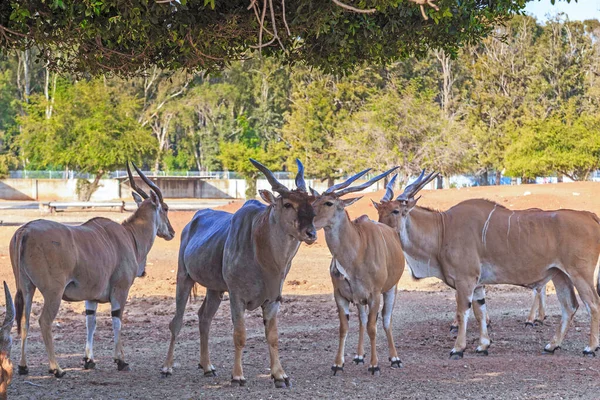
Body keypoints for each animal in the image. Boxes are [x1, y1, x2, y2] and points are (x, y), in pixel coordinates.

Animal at [9, 162, 173, 378]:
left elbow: (91, 323)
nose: (171, 232)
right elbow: (117, 320)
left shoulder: (91, 297)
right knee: (44, 321)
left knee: (24, 321)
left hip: (27, 289)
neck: (129, 235)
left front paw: (89, 360)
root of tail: (25, 230)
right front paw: (121, 361)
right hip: (53, 293)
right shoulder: (120, 291)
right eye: (165, 208)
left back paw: (23, 366)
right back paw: (57, 369)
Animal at [162, 159, 316, 388]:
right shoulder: (237, 297)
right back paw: (167, 367)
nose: (311, 233)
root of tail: (193, 221)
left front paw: (280, 376)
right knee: (177, 322)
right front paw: (237, 376)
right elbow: (240, 335)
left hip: (214, 290)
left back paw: (207, 367)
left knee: (204, 318)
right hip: (184, 278)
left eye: (310, 203)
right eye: (288, 204)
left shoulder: (273, 300)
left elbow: (273, 336)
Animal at [310, 166, 404, 376]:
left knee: (385, 320)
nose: (309, 225)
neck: (356, 252)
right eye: (313, 201)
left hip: (391, 289)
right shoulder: (341, 295)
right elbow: (344, 327)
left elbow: (373, 327)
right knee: (361, 319)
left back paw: (395, 358)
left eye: (329, 202)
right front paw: (338, 364)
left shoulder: (374, 294)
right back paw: (359, 356)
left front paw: (374, 365)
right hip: (360, 300)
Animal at [376, 170, 600, 358]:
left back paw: (590, 348)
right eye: (380, 210)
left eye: (396, 211)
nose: (380, 228)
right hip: (560, 275)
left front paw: (458, 348)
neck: (443, 229)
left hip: (580, 274)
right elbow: (480, 311)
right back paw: (552, 345)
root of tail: (590, 216)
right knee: (569, 307)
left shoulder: (465, 280)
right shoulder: (478, 285)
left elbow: (463, 312)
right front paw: (483, 345)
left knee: (593, 304)